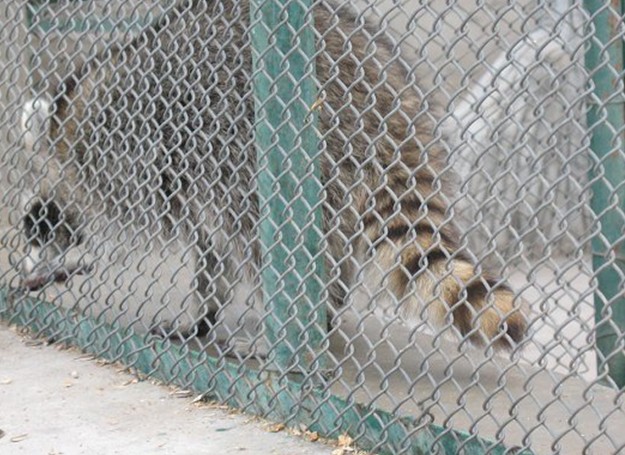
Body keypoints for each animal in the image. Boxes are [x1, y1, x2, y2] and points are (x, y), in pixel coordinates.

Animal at [18, 0, 527, 354]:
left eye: (39, 222)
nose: (26, 265)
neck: (65, 133)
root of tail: (389, 110)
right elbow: (208, 246)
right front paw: (204, 310)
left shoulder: (130, 146)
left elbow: (139, 223)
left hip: (273, 147)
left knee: (261, 237)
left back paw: (289, 329)